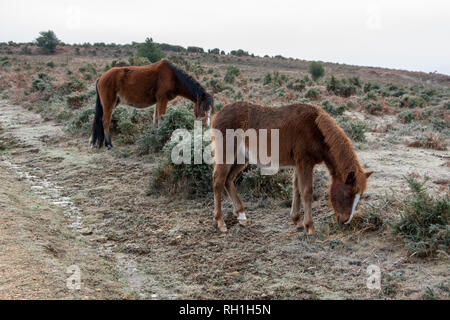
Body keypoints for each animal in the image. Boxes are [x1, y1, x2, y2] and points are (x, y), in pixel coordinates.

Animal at [211, 102, 372, 235]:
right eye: (348, 195)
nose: (345, 221)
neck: (316, 129)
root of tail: (217, 114)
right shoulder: (305, 163)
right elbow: (307, 191)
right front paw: (310, 227)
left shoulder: (298, 164)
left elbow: (297, 190)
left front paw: (297, 221)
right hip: (227, 155)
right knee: (218, 181)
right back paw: (220, 221)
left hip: (241, 158)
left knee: (228, 180)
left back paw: (241, 215)